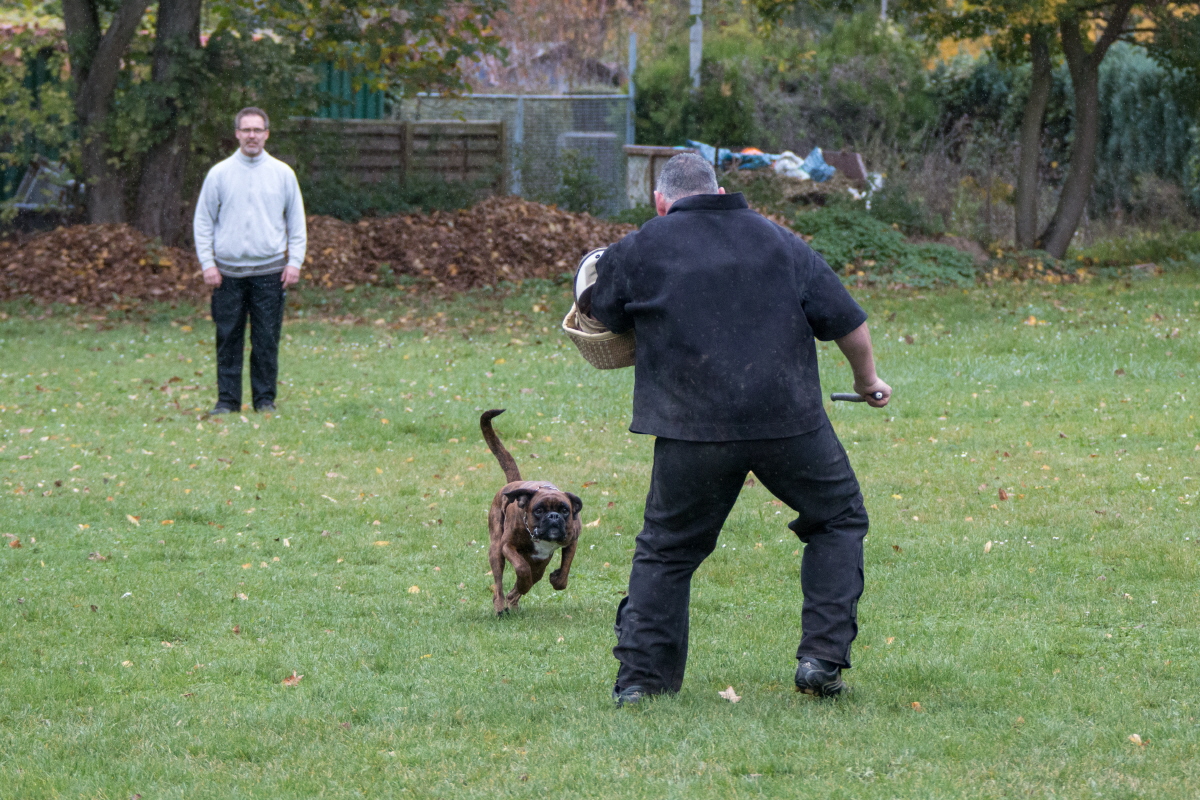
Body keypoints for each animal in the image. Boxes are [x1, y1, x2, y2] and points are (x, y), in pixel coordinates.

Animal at [481, 409, 582, 616]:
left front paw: (557, 578)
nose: (553, 516)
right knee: (499, 585)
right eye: (539, 510)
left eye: (564, 510)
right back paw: (500, 607)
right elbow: (521, 569)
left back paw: (513, 603)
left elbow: (564, 572)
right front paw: (522, 582)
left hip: (540, 564)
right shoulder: (507, 546)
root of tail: (515, 482)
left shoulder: (572, 540)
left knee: (519, 588)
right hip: (496, 550)